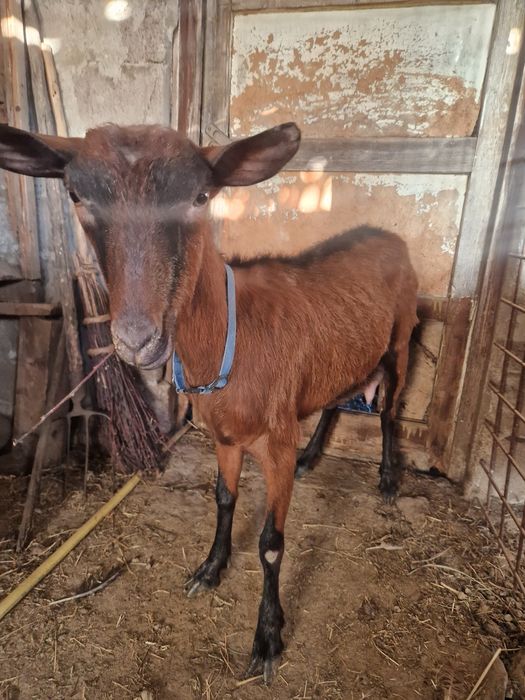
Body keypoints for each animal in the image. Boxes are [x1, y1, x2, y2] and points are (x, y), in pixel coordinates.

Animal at [0, 122, 418, 682]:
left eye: (201, 196)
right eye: (75, 195)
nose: (137, 339)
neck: (229, 341)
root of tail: (386, 233)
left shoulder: (275, 441)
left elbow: (270, 545)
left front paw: (268, 637)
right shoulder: (223, 434)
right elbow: (223, 500)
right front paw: (211, 568)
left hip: (402, 336)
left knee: (391, 408)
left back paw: (389, 479)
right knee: (337, 395)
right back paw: (313, 456)